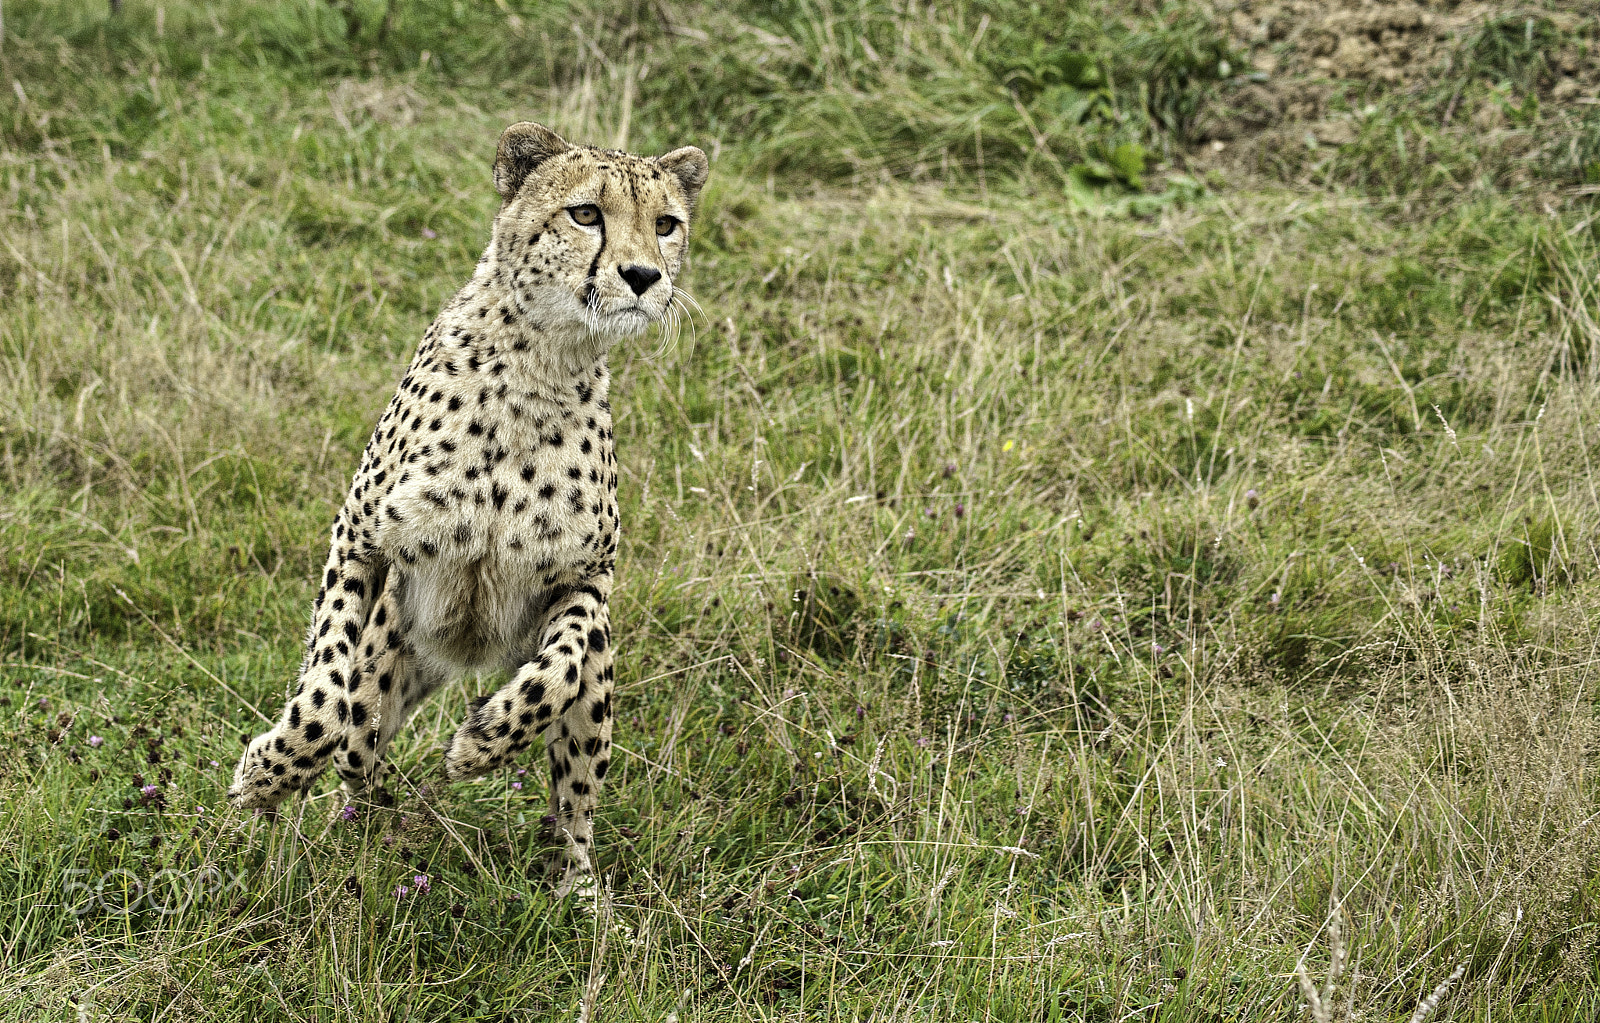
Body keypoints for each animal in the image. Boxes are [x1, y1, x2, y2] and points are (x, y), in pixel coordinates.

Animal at [228, 121, 709, 896]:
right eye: (585, 214)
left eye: (665, 224)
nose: (643, 276)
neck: (542, 362)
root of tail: (459, 658)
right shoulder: (358, 538)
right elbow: (323, 692)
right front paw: (269, 772)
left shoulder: (588, 581)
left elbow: (559, 669)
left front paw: (484, 741)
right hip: (389, 659)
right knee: (357, 749)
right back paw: (353, 827)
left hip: (590, 679)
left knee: (574, 797)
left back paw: (577, 890)